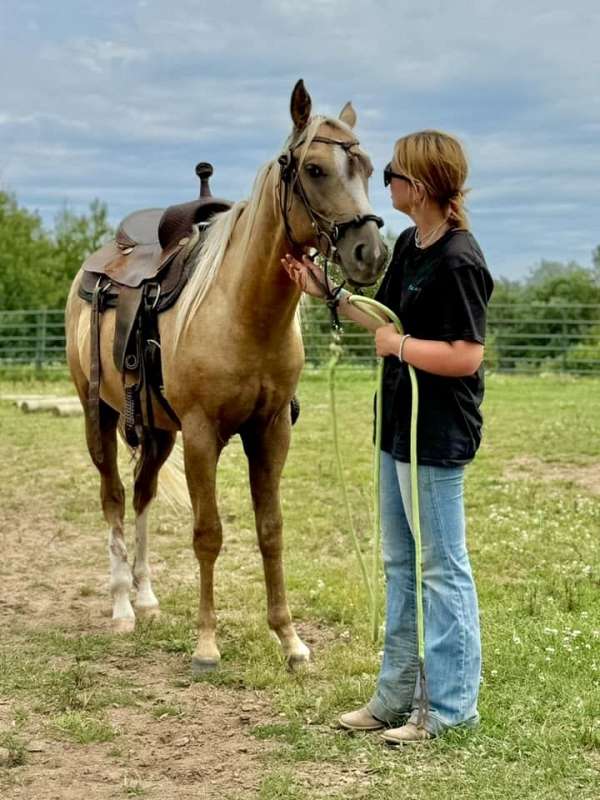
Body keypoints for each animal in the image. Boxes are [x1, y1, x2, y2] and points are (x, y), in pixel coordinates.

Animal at [64, 81, 384, 672]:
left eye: (369, 168)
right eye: (314, 169)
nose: (369, 253)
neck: (241, 309)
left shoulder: (270, 431)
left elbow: (271, 531)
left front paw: (290, 639)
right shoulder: (202, 434)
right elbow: (207, 534)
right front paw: (207, 645)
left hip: (157, 433)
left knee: (141, 495)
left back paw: (146, 598)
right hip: (99, 416)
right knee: (114, 497)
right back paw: (121, 606)